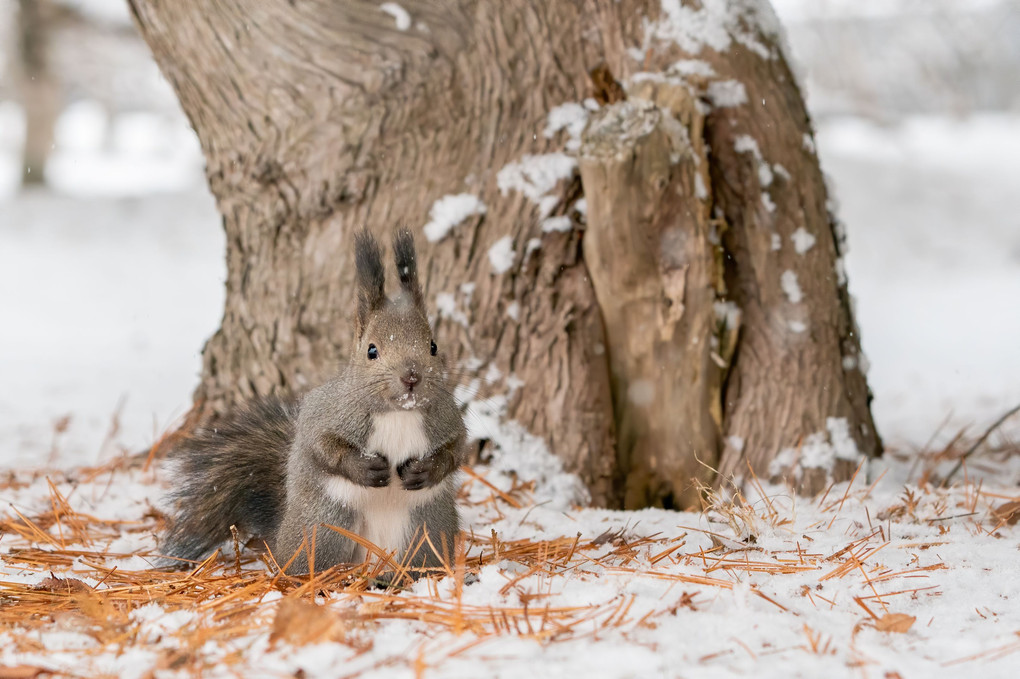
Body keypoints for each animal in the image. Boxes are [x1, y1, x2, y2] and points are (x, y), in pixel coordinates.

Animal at [158, 228, 467, 575]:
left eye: (433, 346)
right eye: (372, 350)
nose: (411, 377)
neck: (398, 412)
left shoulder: (447, 418)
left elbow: (456, 449)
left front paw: (425, 471)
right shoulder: (325, 413)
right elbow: (321, 445)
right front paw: (364, 468)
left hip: (426, 530)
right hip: (325, 525)